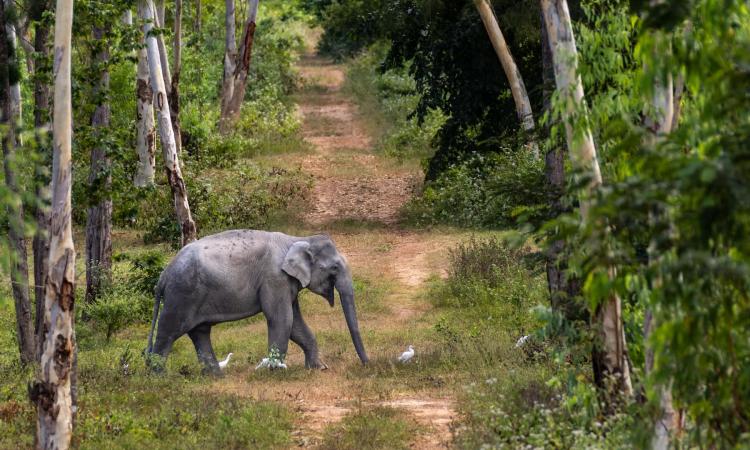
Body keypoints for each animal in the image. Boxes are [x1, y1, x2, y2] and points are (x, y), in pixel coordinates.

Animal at [146, 230, 369, 373]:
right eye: (334, 268)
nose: (367, 365)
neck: (297, 240)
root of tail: (162, 277)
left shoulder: (286, 282)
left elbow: (295, 323)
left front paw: (318, 368)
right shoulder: (275, 278)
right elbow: (282, 319)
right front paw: (275, 371)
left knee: (200, 332)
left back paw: (215, 376)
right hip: (181, 295)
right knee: (168, 332)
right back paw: (157, 379)